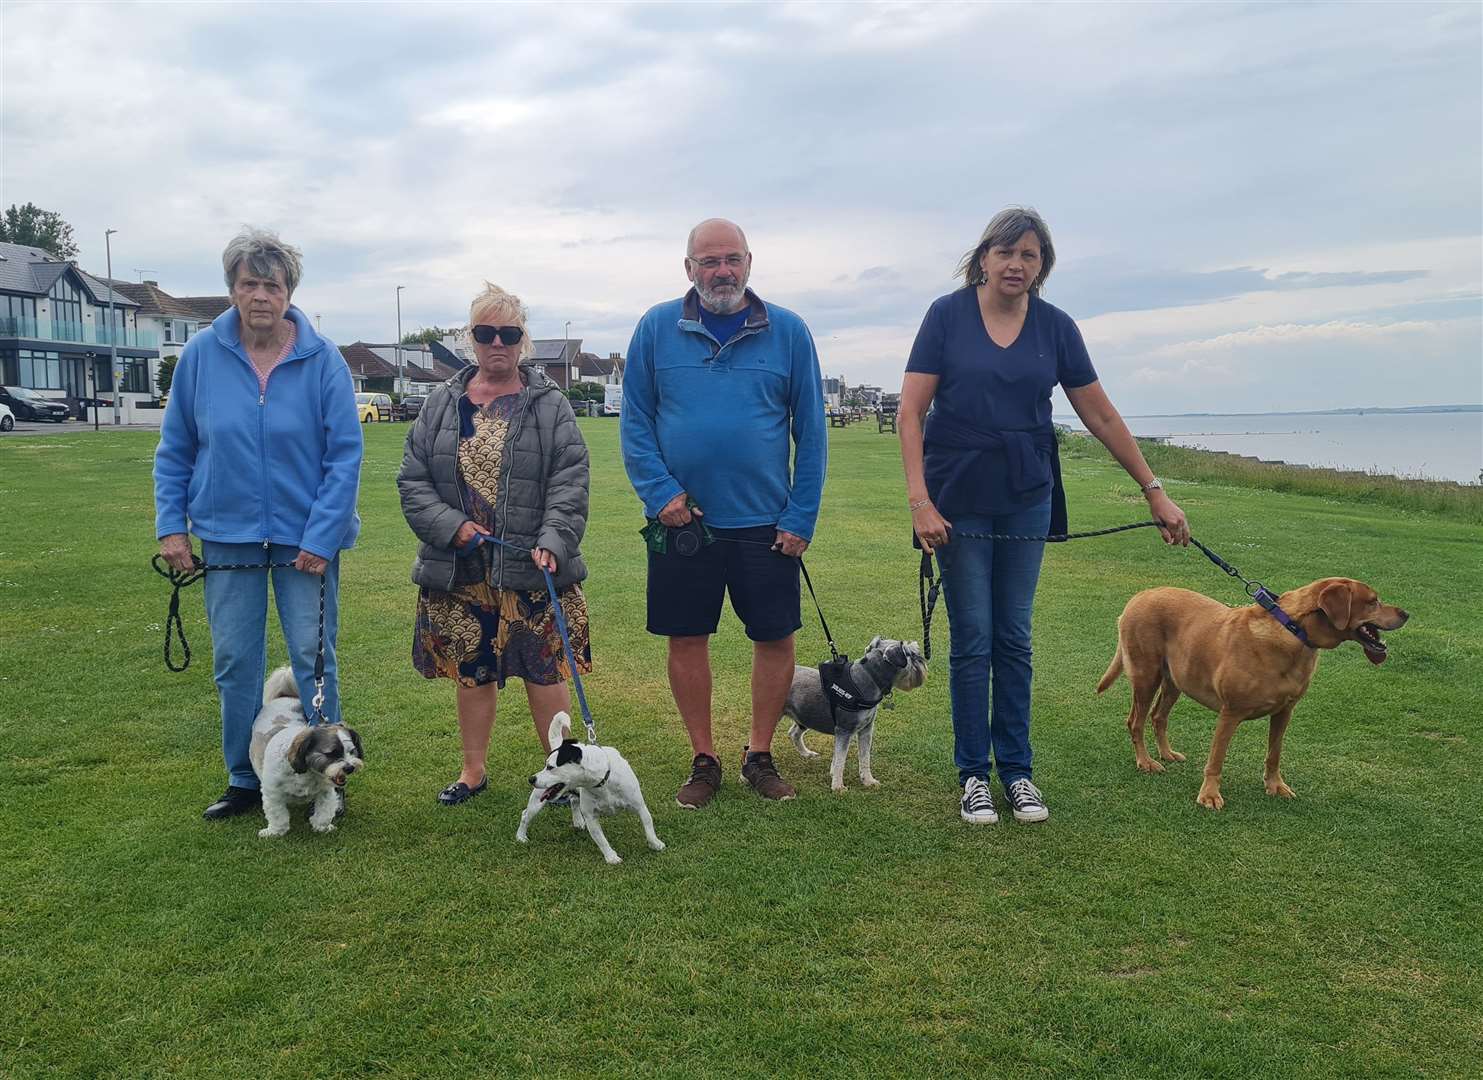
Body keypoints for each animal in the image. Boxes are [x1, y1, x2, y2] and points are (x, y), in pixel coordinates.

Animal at [247, 667, 363, 836]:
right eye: (331, 753)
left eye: (352, 751)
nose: (349, 767)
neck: (308, 774)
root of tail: (285, 696)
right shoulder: (272, 793)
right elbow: (278, 816)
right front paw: (275, 832)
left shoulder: (326, 791)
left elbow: (325, 811)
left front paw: (322, 827)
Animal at [783, 631, 919, 795]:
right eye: (912, 654)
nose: (923, 659)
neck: (869, 678)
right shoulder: (844, 730)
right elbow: (841, 759)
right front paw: (838, 786)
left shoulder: (866, 729)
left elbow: (864, 757)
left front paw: (868, 781)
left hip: (805, 717)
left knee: (794, 733)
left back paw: (806, 753)